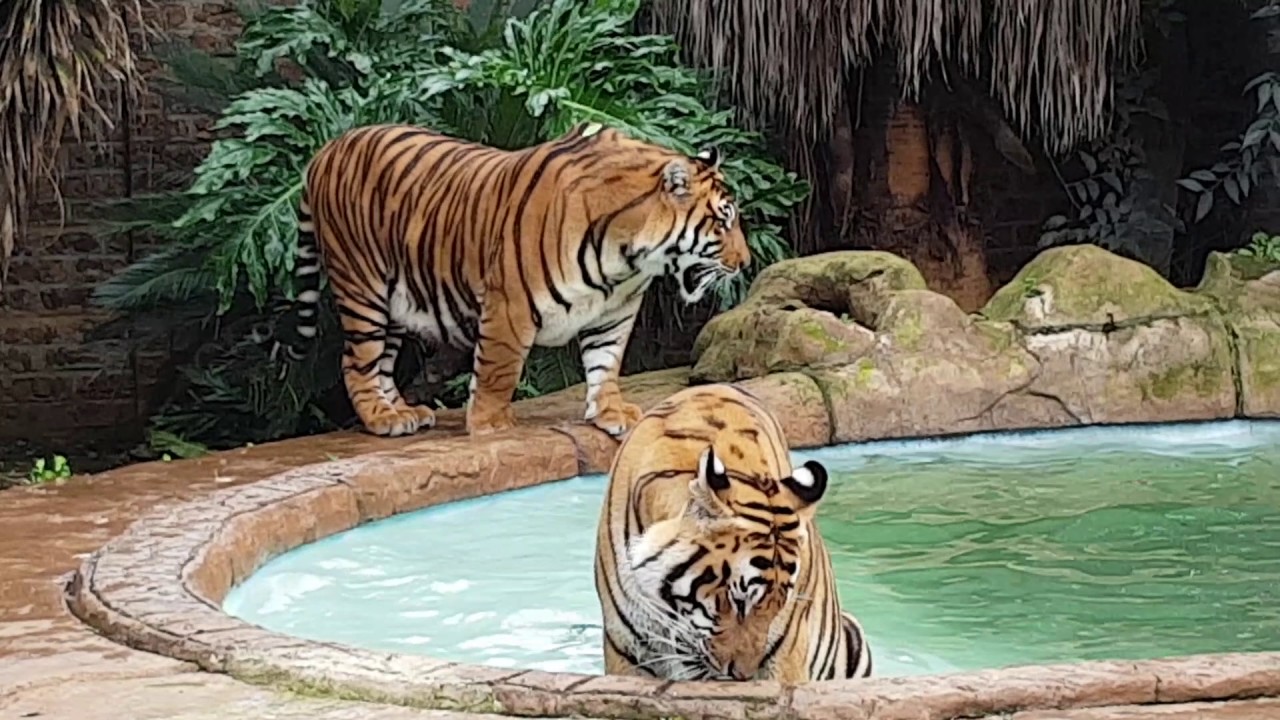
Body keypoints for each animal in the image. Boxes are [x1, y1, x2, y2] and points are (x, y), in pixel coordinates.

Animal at [283, 122, 750, 438]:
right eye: (723, 222)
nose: (746, 262)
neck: (628, 259)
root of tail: (326, 149)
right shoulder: (510, 304)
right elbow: (498, 369)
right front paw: (490, 425)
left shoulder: (615, 311)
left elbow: (606, 362)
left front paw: (611, 413)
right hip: (363, 287)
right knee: (356, 362)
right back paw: (382, 419)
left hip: (396, 300)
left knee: (381, 363)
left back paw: (404, 412)